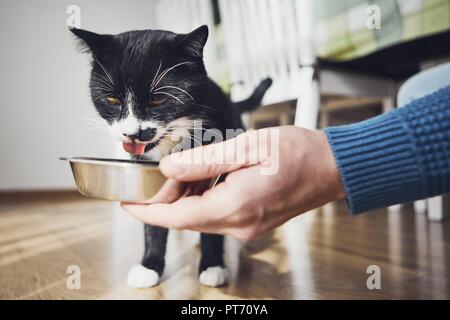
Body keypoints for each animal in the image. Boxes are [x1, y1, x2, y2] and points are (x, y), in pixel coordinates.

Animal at [70, 25, 270, 288]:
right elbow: (152, 220)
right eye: (112, 99)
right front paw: (149, 266)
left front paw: (213, 266)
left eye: (158, 99)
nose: (131, 133)